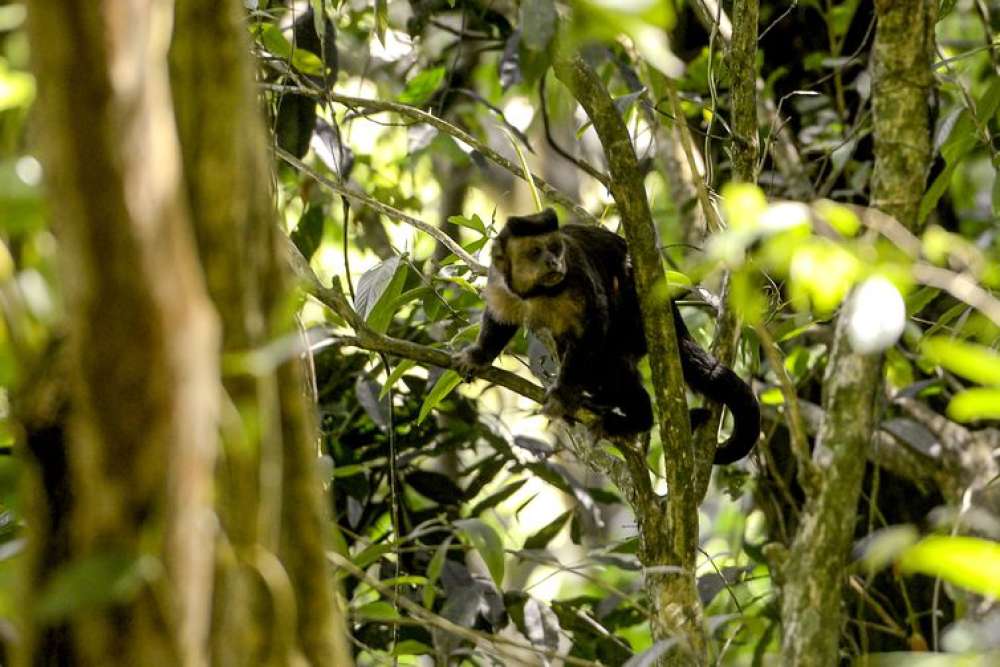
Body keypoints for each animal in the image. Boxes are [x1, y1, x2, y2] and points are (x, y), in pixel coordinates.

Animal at [454, 209, 756, 464]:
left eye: (556, 248)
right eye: (536, 251)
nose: (553, 262)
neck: (537, 292)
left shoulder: (575, 274)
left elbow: (593, 325)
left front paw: (563, 396)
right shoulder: (500, 280)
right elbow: (500, 320)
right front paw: (478, 356)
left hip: (636, 318)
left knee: (608, 358)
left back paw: (637, 417)